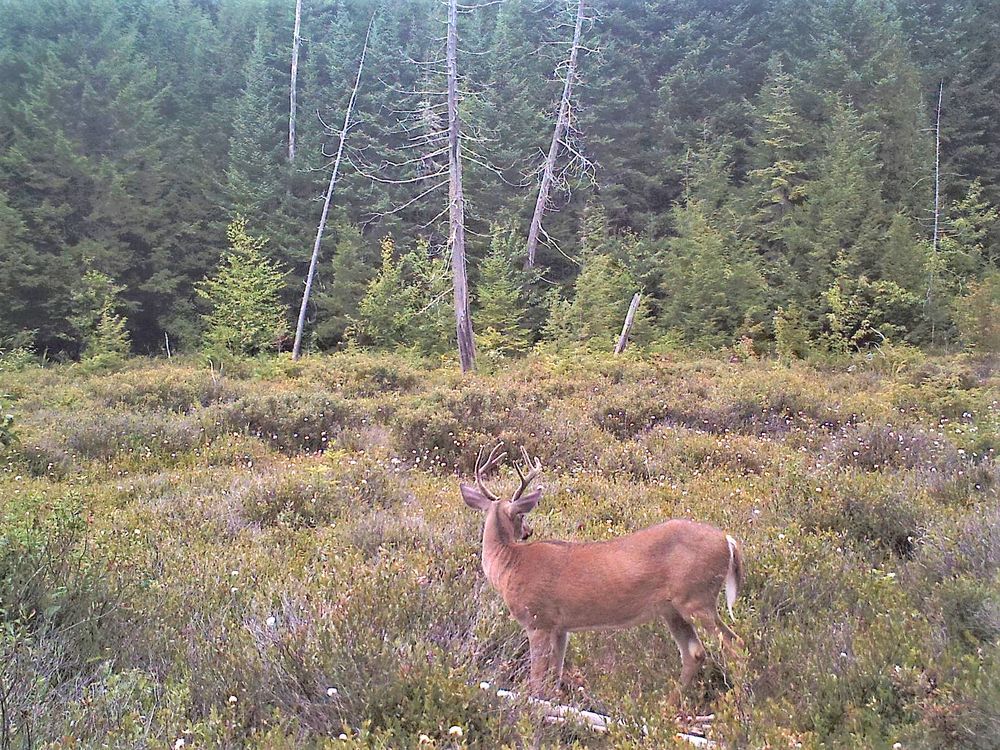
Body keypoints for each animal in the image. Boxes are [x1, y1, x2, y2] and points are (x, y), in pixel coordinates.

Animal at [461, 444, 745, 701]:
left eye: (521, 515)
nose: (528, 531)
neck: (510, 564)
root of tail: (728, 541)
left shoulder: (537, 620)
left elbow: (538, 678)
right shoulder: (560, 627)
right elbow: (555, 674)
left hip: (697, 598)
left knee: (734, 644)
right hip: (673, 609)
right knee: (695, 652)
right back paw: (670, 705)